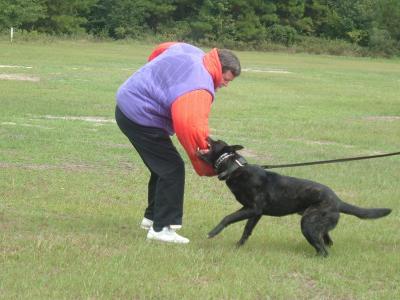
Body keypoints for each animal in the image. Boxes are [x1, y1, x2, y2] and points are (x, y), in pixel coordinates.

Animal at [198, 137, 392, 256]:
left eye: (216, 141)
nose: (207, 136)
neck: (234, 168)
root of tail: (338, 201)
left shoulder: (252, 208)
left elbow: (227, 218)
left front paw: (213, 232)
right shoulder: (256, 213)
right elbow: (247, 231)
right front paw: (238, 247)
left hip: (307, 224)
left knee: (324, 251)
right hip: (317, 225)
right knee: (327, 241)